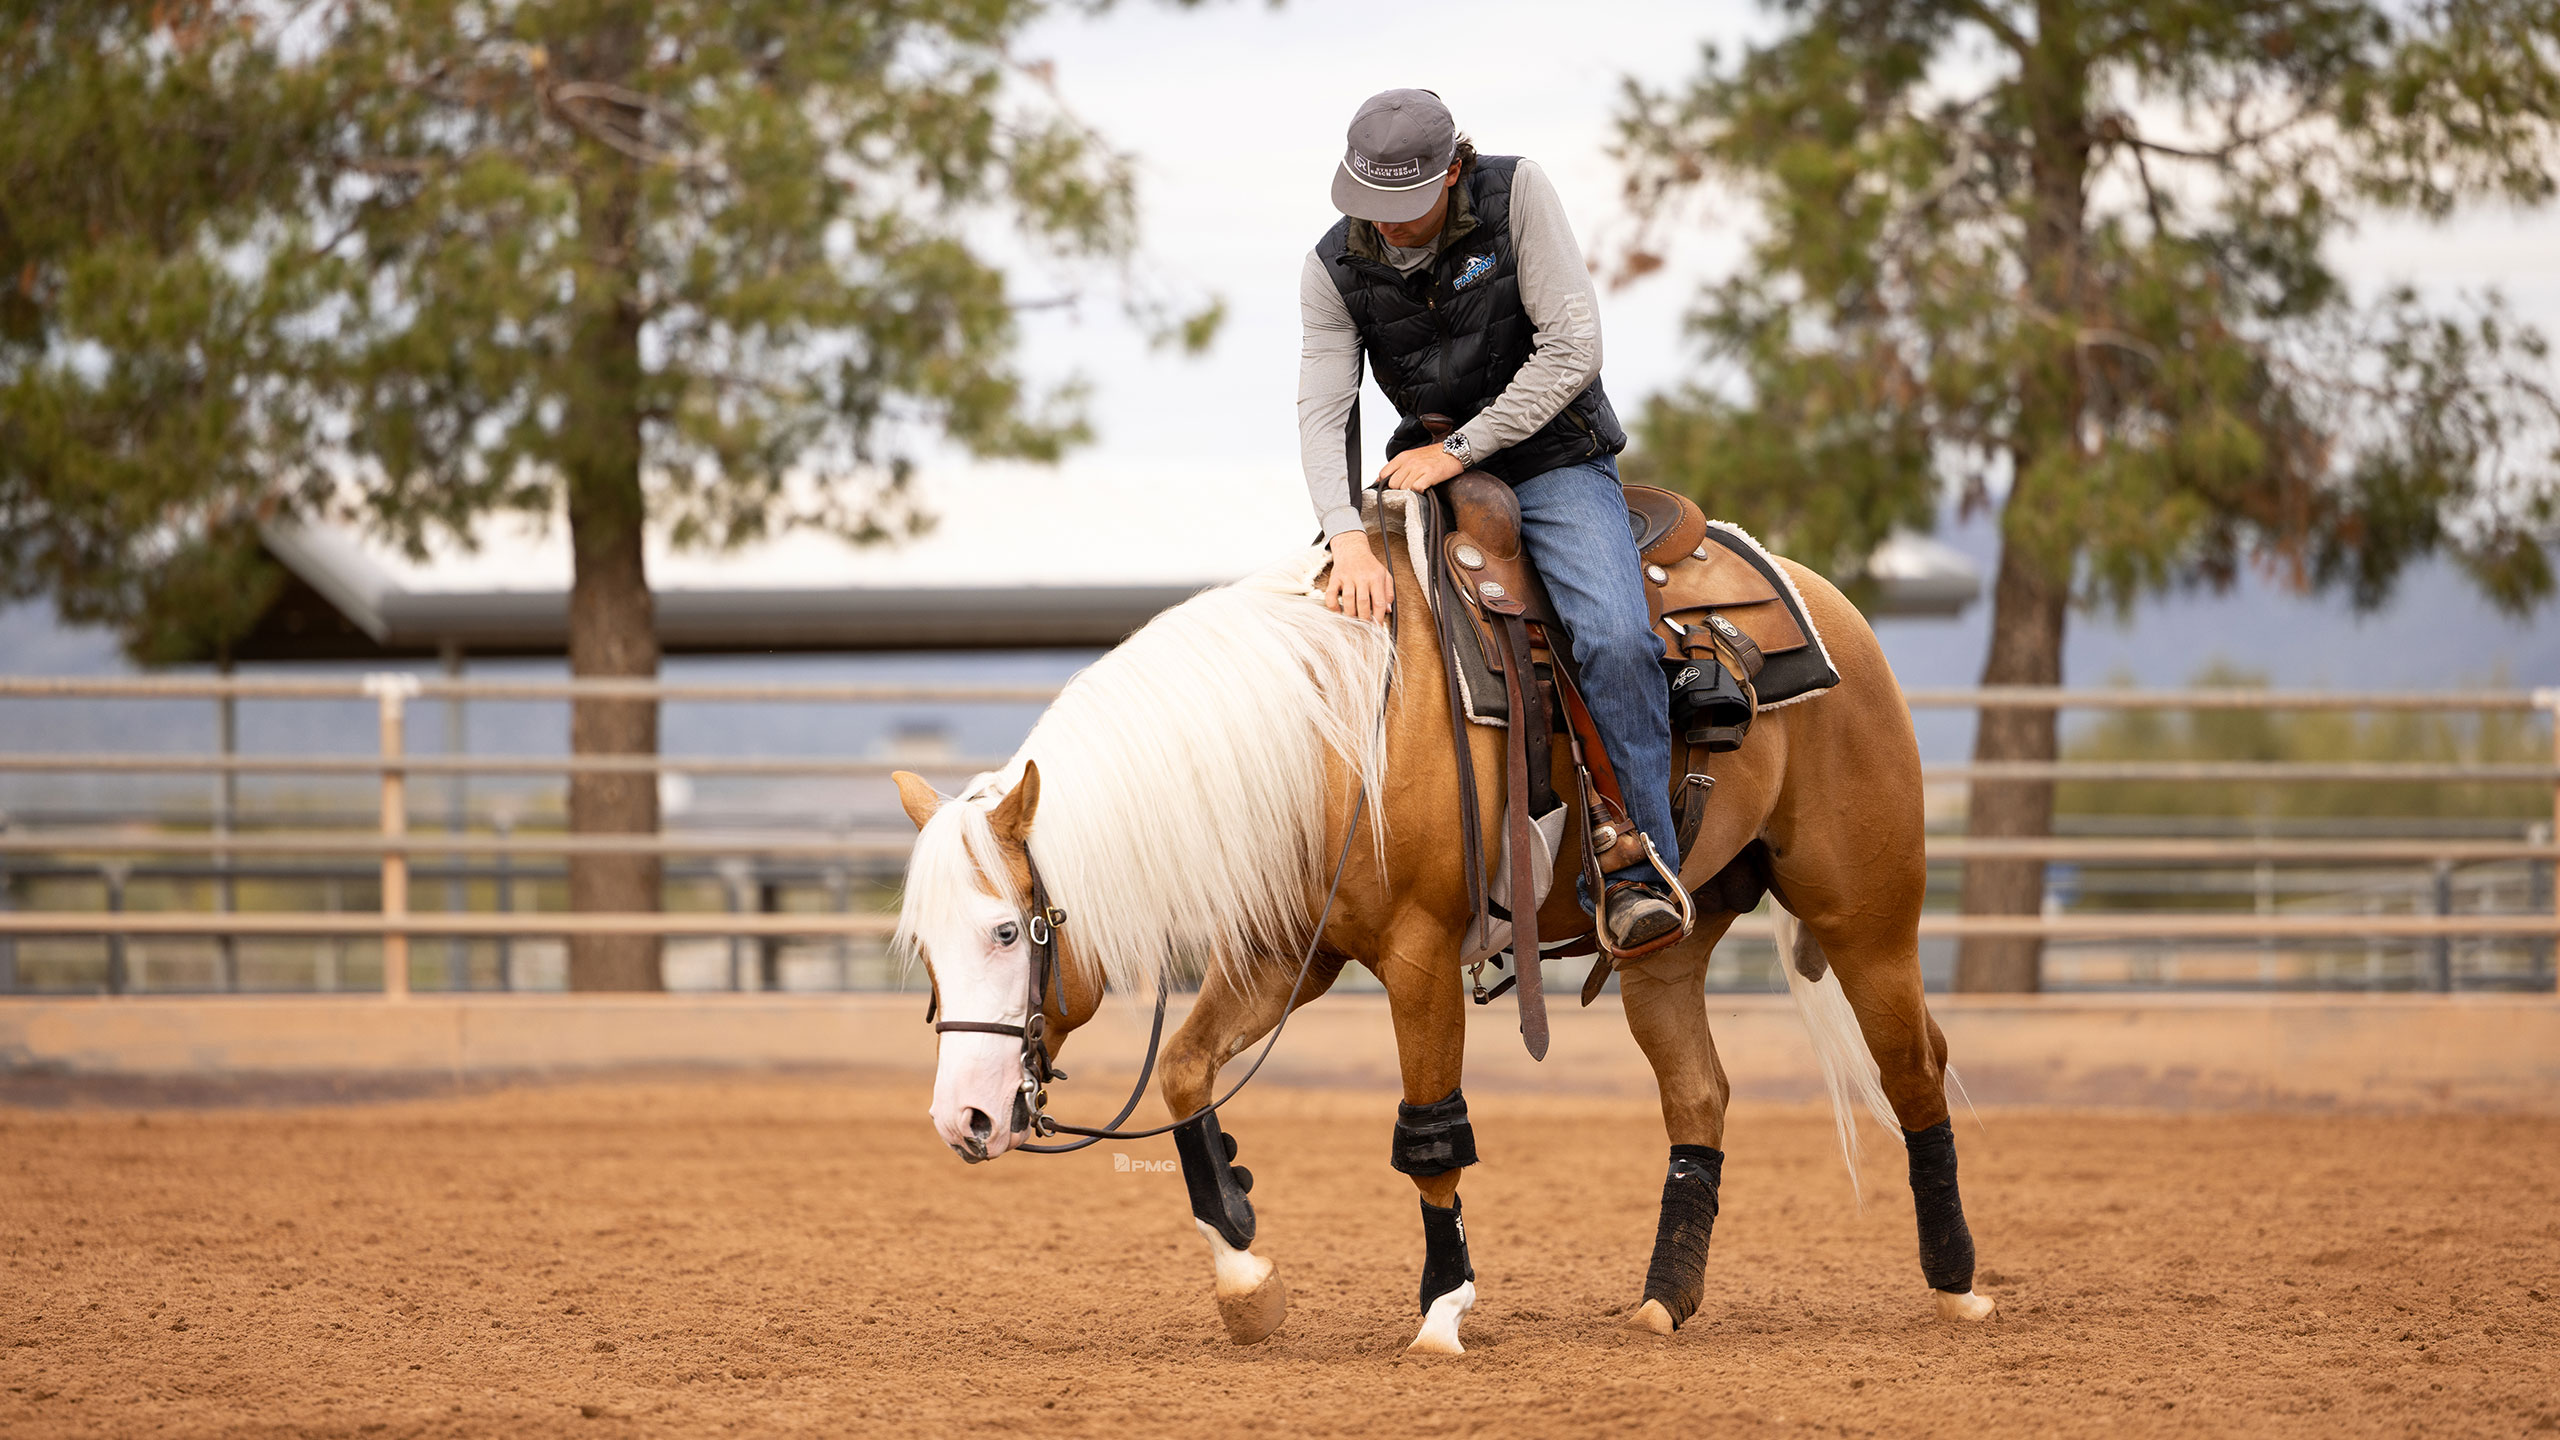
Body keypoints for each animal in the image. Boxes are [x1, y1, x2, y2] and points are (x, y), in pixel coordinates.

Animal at [890, 510, 1998, 1354]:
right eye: (927, 951)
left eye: (1006, 932)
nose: (961, 1120)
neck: (1330, 734)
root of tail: (1818, 601)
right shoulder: (1286, 959)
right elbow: (1185, 1073)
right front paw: (1246, 1271)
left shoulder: (1418, 956)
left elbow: (1431, 1135)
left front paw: (1441, 1312)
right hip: (1667, 945)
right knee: (1699, 1095)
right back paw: (1662, 1301)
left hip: (1867, 917)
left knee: (1913, 1068)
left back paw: (1956, 1283)